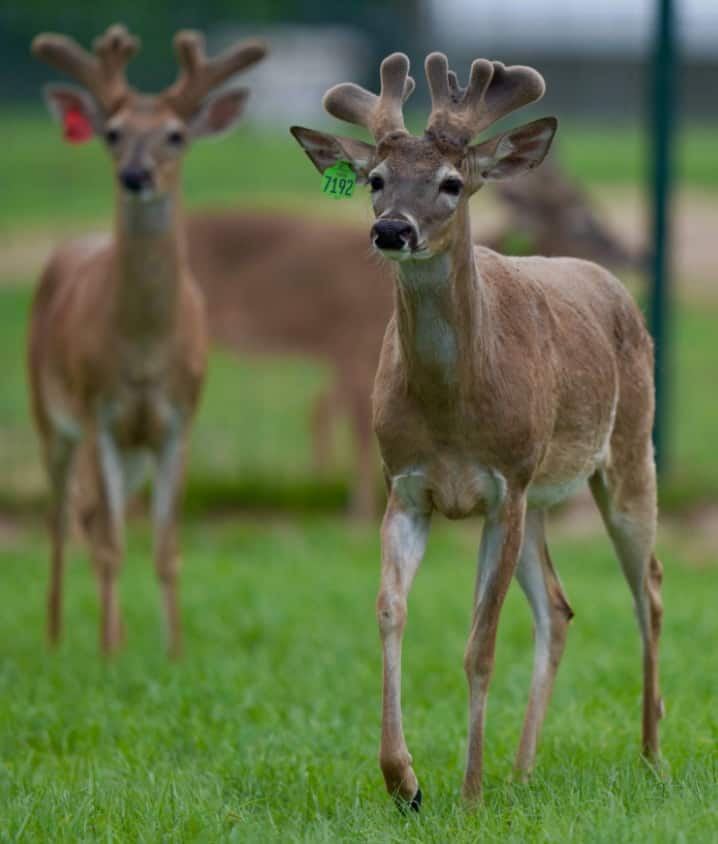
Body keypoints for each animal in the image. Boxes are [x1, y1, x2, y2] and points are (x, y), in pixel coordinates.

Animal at [29, 24, 266, 656]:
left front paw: (173, 651)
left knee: (88, 518)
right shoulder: (98, 411)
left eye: (176, 135)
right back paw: (59, 637)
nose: (134, 176)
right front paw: (110, 657)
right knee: (64, 521)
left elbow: (165, 548)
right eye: (112, 133)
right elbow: (113, 541)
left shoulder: (178, 418)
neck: (142, 351)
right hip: (49, 416)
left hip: (132, 448)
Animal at [291, 52, 663, 808]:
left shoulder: (503, 487)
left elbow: (480, 643)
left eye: (452, 183)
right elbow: (389, 611)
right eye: (375, 179)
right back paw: (522, 770)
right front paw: (404, 781)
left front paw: (467, 792)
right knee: (559, 608)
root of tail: (613, 286)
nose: (391, 230)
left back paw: (650, 757)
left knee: (650, 593)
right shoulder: (406, 488)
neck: (451, 412)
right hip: (542, 497)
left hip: (626, 453)